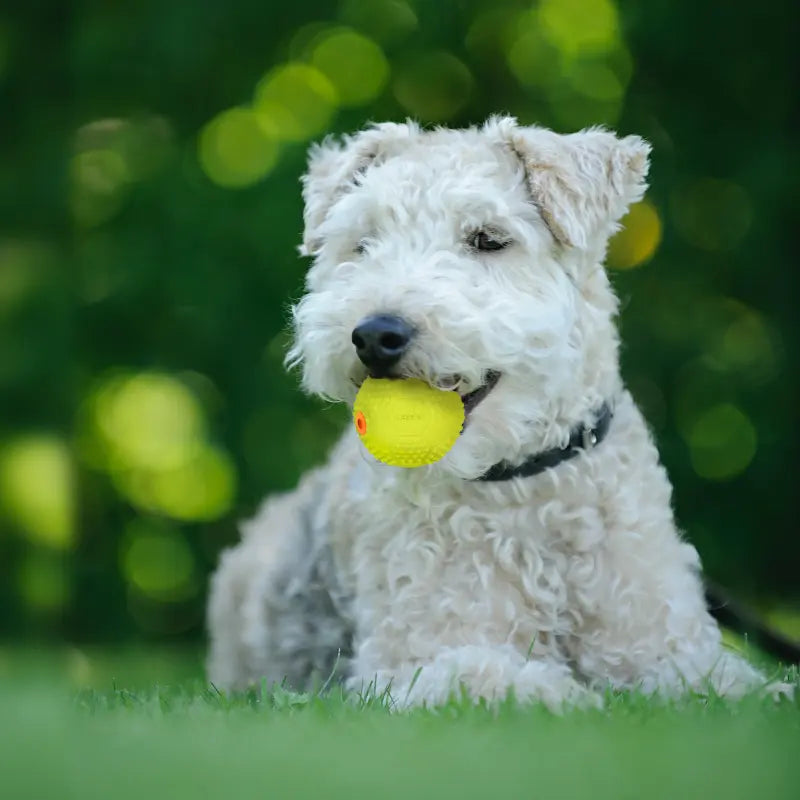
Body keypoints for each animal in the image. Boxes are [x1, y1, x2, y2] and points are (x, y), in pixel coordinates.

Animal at [206, 117, 776, 708]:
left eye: (488, 239)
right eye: (363, 244)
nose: (376, 335)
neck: (525, 487)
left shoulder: (659, 636)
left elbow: (709, 677)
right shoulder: (409, 662)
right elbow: (492, 674)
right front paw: (572, 697)